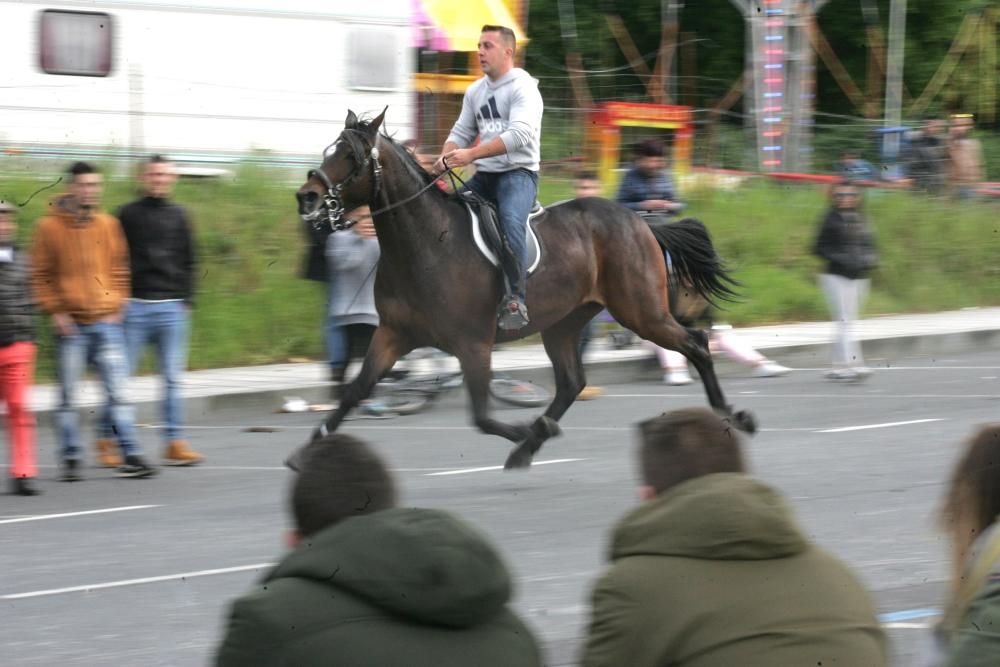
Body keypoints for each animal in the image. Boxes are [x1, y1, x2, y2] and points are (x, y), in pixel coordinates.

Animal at [292, 109, 752, 468]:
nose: (306, 197)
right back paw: (531, 443)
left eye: (350, 156)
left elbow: (481, 416)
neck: (425, 243)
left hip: (642, 312)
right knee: (572, 382)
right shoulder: (392, 335)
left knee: (696, 343)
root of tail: (641, 221)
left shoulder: (473, 344)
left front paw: (527, 432)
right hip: (565, 323)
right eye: (328, 151)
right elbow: (354, 390)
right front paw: (306, 452)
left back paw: (732, 414)